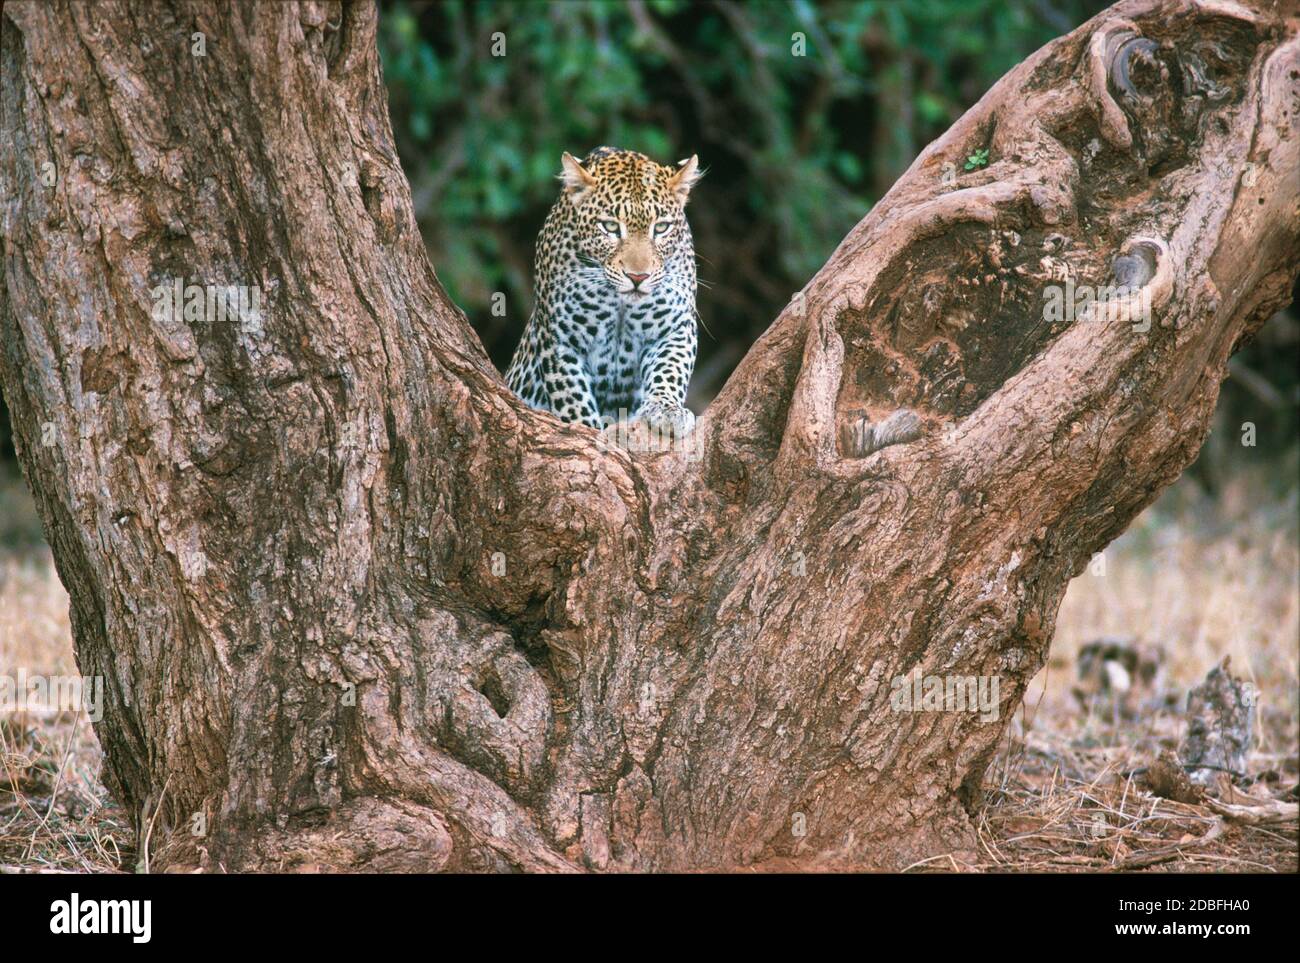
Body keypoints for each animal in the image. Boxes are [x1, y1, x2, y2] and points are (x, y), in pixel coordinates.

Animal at [501, 146, 702, 439]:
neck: (620, 304)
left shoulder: (674, 326)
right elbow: (571, 395)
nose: (638, 277)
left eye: (661, 228)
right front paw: (585, 429)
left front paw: (667, 410)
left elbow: (670, 368)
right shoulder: (559, 338)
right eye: (610, 227)